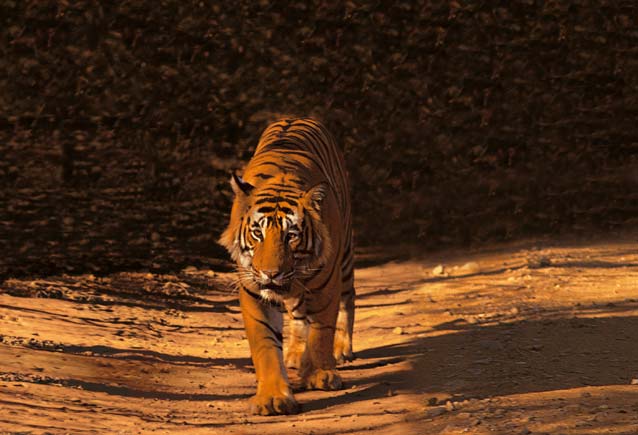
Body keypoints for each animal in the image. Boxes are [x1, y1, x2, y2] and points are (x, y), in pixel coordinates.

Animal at [220, 116, 356, 416]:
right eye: (257, 233)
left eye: (291, 235)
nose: (271, 273)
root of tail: (298, 116)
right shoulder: (253, 290)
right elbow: (266, 344)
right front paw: (272, 397)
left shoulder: (326, 283)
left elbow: (321, 330)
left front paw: (320, 374)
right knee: (297, 313)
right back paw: (294, 354)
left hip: (344, 259)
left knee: (348, 299)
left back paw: (341, 348)